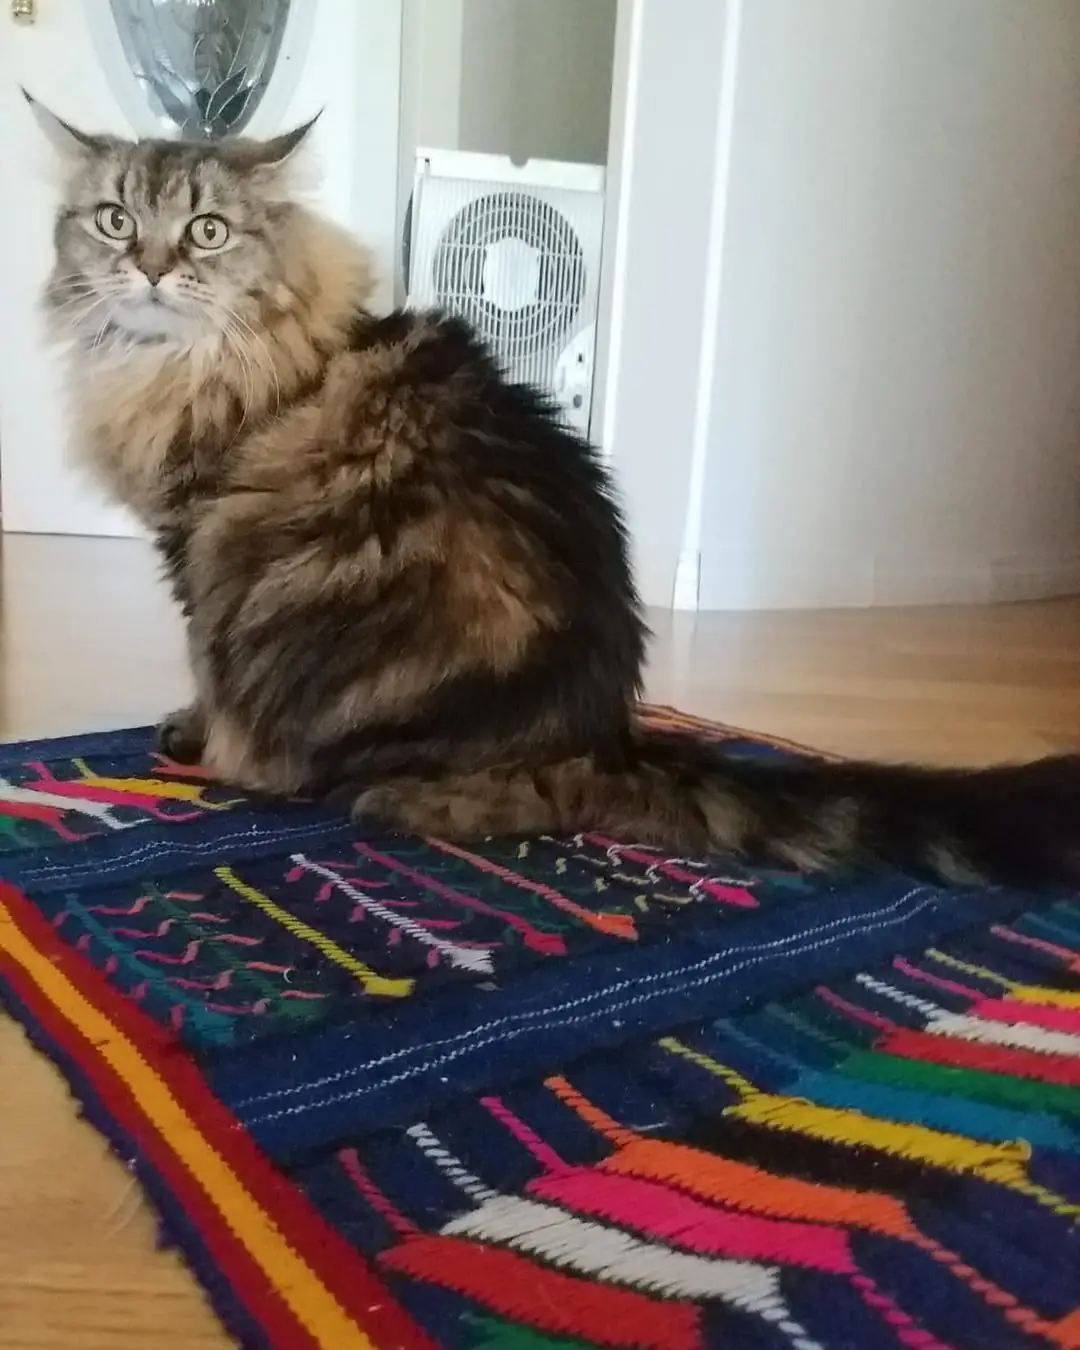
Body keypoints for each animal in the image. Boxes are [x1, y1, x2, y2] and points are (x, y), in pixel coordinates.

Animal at [29, 95, 1080, 887]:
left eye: (206, 231)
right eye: (115, 218)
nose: (149, 267)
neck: (179, 368)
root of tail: (599, 736)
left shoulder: (198, 544)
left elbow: (206, 671)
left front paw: (199, 738)